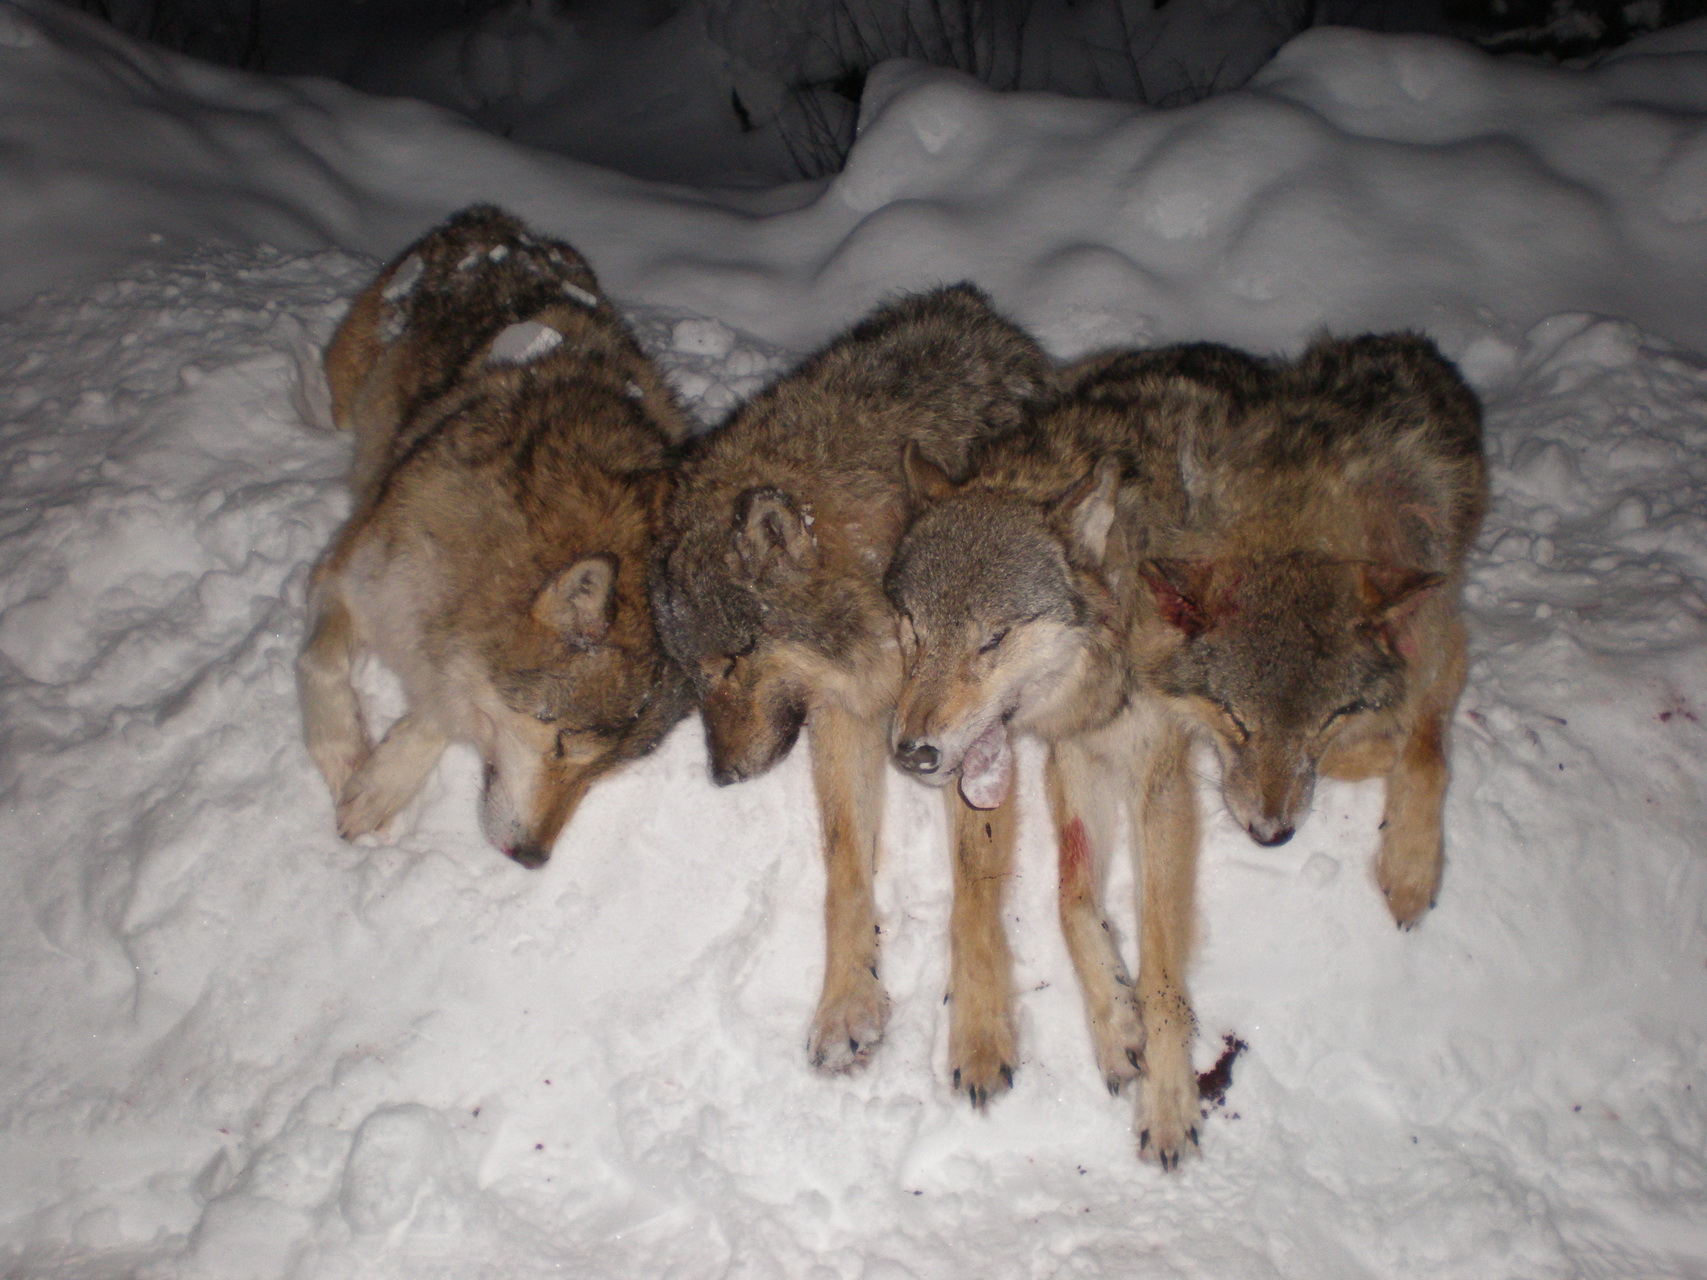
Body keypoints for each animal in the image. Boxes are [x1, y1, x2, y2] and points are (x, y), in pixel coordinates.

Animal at [298, 205, 694, 867]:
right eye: (562, 741)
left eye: (606, 770)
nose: (532, 859)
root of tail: (496, 220)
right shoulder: (348, 575)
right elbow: (318, 664)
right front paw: (345, 757)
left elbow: (443, 711)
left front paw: (379, 785)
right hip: (359, 386)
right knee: (336, 409)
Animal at [651, 284, 1055, 1102]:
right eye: (691, 670)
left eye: (735, 657)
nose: (722, 778)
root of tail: (975, 304)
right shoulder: (844, 714)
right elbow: (843, 870)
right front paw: (845, 1007)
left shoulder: (971, 737)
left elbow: (972, 891)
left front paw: (979, 1035)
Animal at [886, 334, 1485, 1166]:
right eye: (911, 629)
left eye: (992, 638)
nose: (910, 751)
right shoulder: (1061, 751)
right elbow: (1047, 900)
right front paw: (1065, 1031)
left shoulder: (1156, 773)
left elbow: (1162, 965)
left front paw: (1167, 1102)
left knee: (1421, 701)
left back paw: (1406, 859)